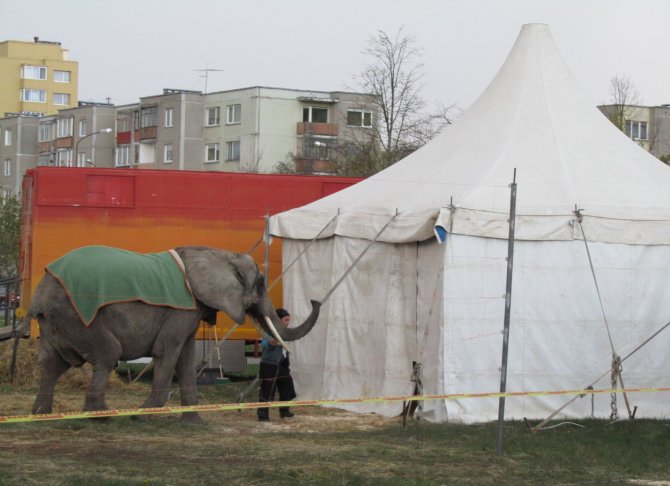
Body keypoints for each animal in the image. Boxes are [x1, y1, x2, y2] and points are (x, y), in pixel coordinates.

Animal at [25, 245, 320, 420]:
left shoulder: (191, 311)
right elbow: (168, 351)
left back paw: (41, 414)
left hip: (55, 321)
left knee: (51, 363)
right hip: (75, 315)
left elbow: (187, 357)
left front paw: (194, 421)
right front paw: (142, 415)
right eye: (259, 285)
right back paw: (103, 415)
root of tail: (41, 290)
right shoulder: (180, 312)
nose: (315, 300)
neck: (220, 255)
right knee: (108, 354)